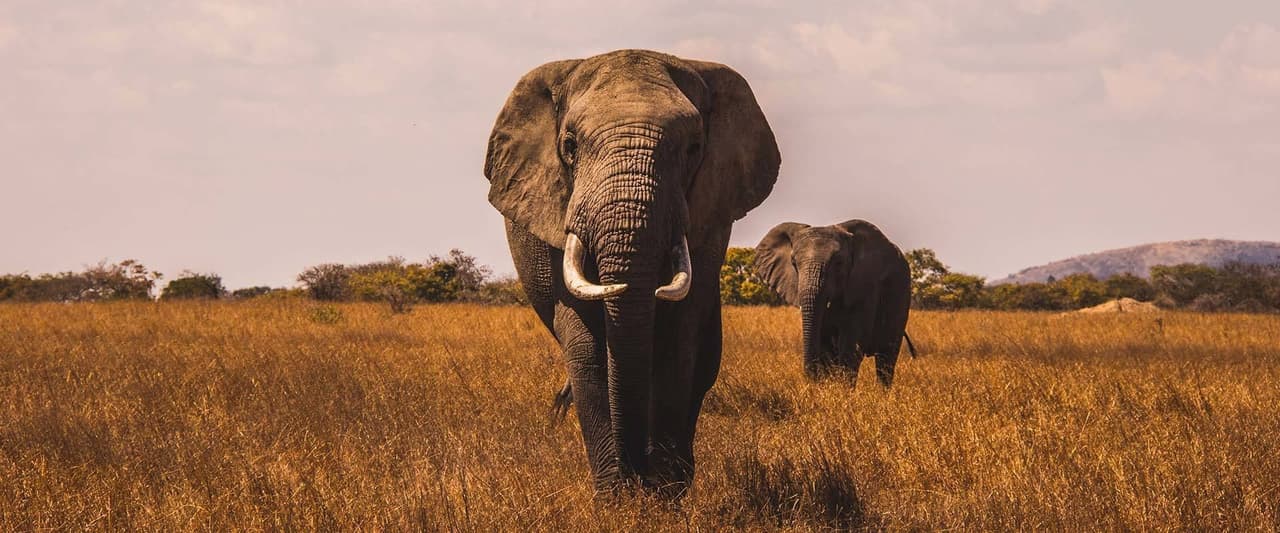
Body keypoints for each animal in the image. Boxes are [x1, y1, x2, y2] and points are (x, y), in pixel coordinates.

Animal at [483, 50, 780, 495]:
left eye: (694, 148)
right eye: (569, 146)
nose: (637, 474)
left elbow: (679, 338)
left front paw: (664, 493)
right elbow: (586, 346)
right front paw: (617, 496)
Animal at [753, 220, 915, 385]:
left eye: (839, 263)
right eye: (793, 263)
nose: (811, 379)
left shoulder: (865, 286)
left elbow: (851, 346)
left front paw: (842, 390)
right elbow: (826, 346)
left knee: (886, 358)